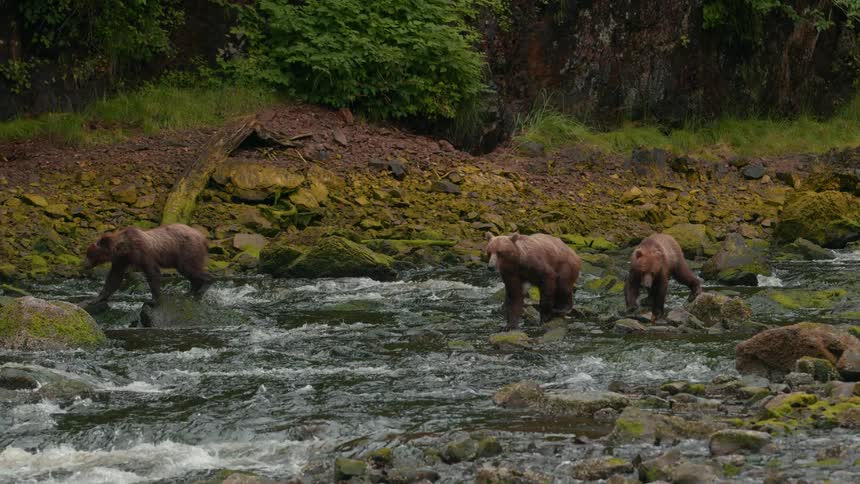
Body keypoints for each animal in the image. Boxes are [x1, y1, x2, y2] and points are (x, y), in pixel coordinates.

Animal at [83, 223, 213, 306]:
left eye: (89, 254)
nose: (84, 265)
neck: (125, 249)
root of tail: (203, 237)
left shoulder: (144, 253)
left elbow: (152, 273)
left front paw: (154, 300)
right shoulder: (121, 260)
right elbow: (114, 278)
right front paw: (95, 299)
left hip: (187, 250)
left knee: (190, 269)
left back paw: (203, 288)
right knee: (189, 272)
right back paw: (189, 293)